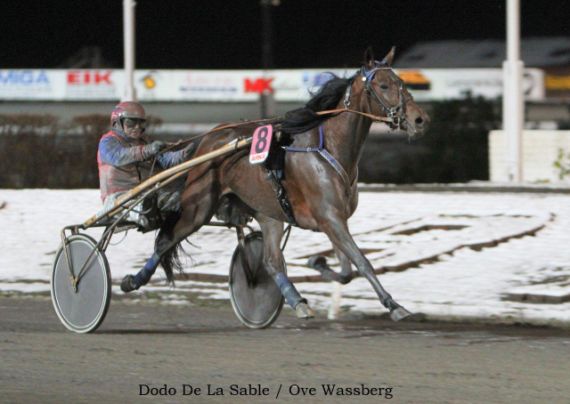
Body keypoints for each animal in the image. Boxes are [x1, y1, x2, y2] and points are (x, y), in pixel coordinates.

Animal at [121, 48, 430, 322]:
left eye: (402, 83)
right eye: (384, 85)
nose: (420, 119)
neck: (329, 148)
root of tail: (209, 137)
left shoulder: (335, 220)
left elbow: (346, 270)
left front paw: (317, 262)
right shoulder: (330, 218)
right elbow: (362, 262)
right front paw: (394, 306)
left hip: (268, 212)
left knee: (270, 260)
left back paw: (297, 302)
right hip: (199, 207)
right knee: (165, 241)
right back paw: (132, 281)